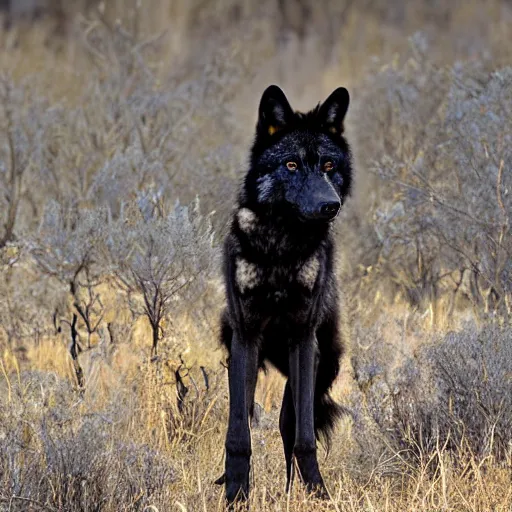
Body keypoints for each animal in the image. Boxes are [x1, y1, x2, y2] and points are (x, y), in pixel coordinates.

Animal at [220, 84, 352, 504]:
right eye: (291, 165)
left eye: (328, 166)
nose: (330, 205)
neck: (281, 245)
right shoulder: (244, 339)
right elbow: (238, 434)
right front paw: (235, 496)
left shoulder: (303, 339)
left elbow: (305, 437)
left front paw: (319, 494)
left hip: (317, 365)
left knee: (288, 425)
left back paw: (296, 491)